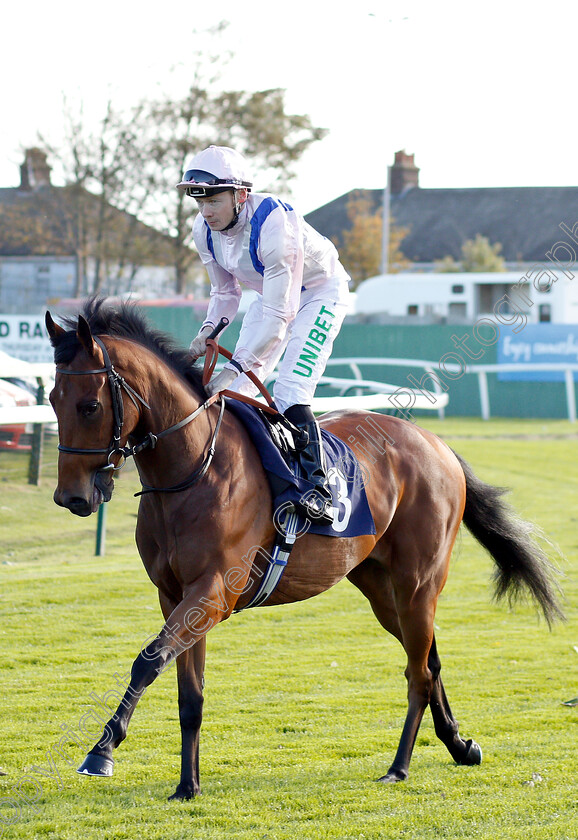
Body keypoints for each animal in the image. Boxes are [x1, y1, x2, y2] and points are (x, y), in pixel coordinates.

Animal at [46, 298, 564, 796]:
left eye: (90, 406)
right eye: (51, 399)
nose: (71, 497)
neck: (193, 467)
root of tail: (437, 444)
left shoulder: (212, 593)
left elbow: (147, 660)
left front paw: (101, 751)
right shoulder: (176, 596)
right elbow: (189, 695)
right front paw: (187, 786)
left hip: (419, 583)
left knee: (418, 674)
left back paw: (398, 767)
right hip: (382, 589)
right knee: (430, 661)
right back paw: (459, 745)